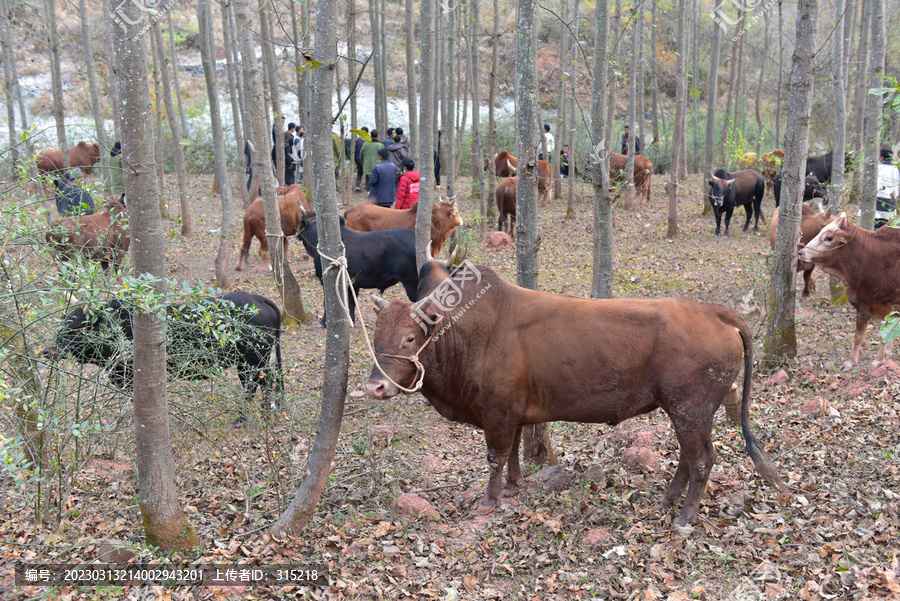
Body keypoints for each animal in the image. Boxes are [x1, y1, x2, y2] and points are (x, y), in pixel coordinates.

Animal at [51, 290, 282, 408]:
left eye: (74, 327)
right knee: (254, 384)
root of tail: (259, 299)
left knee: (265, 380)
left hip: (255, 359)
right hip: (244, 363)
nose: (49, 350)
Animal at [366, 260, 788, 524]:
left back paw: (684, 517)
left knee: (701, 460)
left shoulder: (496, 412)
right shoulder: (513, 412)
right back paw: (669, 500)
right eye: (375, 335)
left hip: (691, 411)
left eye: (409, 338)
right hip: (686, 414)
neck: (466, 334)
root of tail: (716, 312)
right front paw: (514, 487)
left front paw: (489, 500)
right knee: (689, 457)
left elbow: (495, 457)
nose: (375, 385)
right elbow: (514, 450)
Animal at [796, 213, 900, 368]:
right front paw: (851, 362)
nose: (801, 252)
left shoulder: (885, 307)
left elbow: (884, 335)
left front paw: (878, 359)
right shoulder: (862, 305)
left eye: (829, 238)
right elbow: (858, 337)